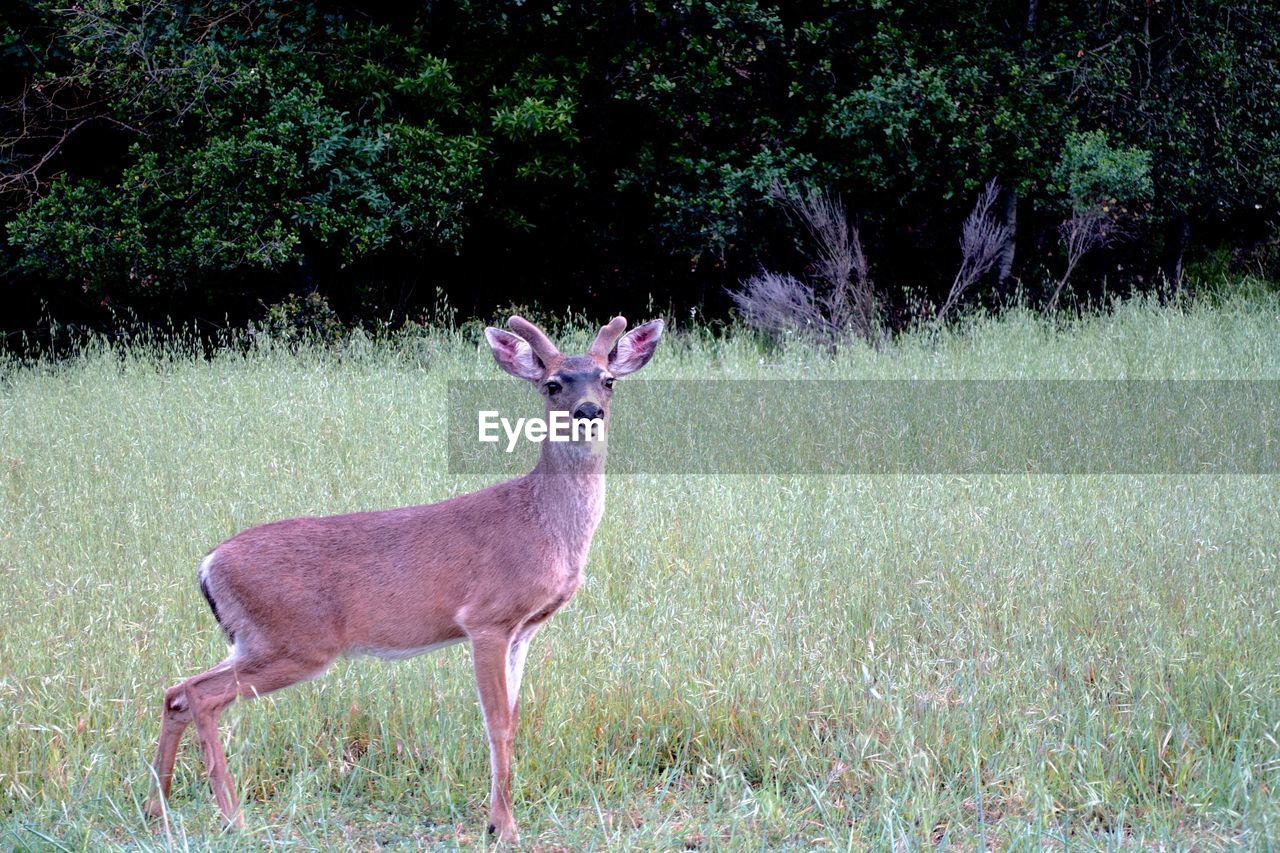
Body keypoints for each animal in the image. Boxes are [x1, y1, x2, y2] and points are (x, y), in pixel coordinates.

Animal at [145, 315, 665, 840]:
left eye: (608, 379)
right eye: (553, 383)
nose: (588, 411)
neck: (544, 524)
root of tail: (208, 564)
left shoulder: (524, 631)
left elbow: (515, 720)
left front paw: (500, 818)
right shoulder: (486, 618)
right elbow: (496, 723)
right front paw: (502, 826)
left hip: (255, 641)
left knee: (176, 692)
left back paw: (156, 808)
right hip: (294, 640)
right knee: (199, 695)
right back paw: (232, 817)